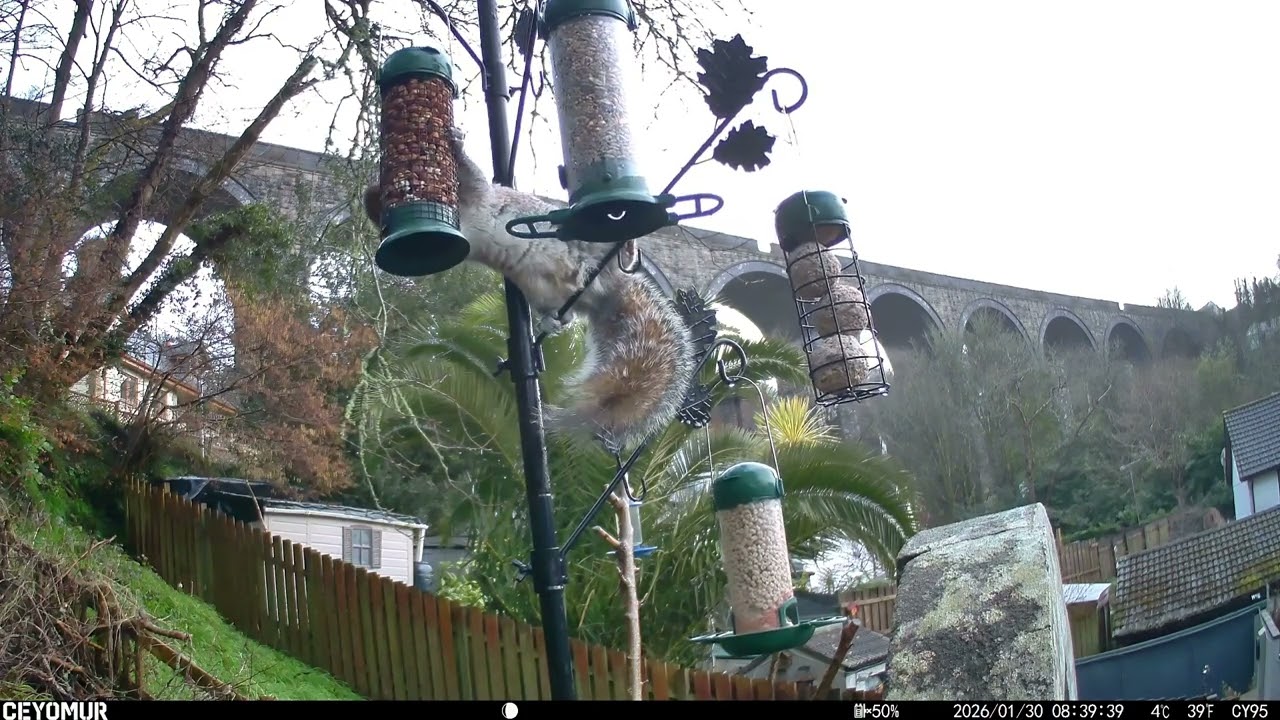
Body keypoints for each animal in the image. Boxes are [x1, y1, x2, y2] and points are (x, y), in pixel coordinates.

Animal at [362, 129, 695, 452]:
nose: (382, 231)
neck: (462, 214)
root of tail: (607, 293)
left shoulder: (480, 196)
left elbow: (474, 176)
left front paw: (456, 144)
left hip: (593, 243)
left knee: (616, 254)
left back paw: (626, 249)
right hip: (542, 289)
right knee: (564, 311)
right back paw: (554, 319)